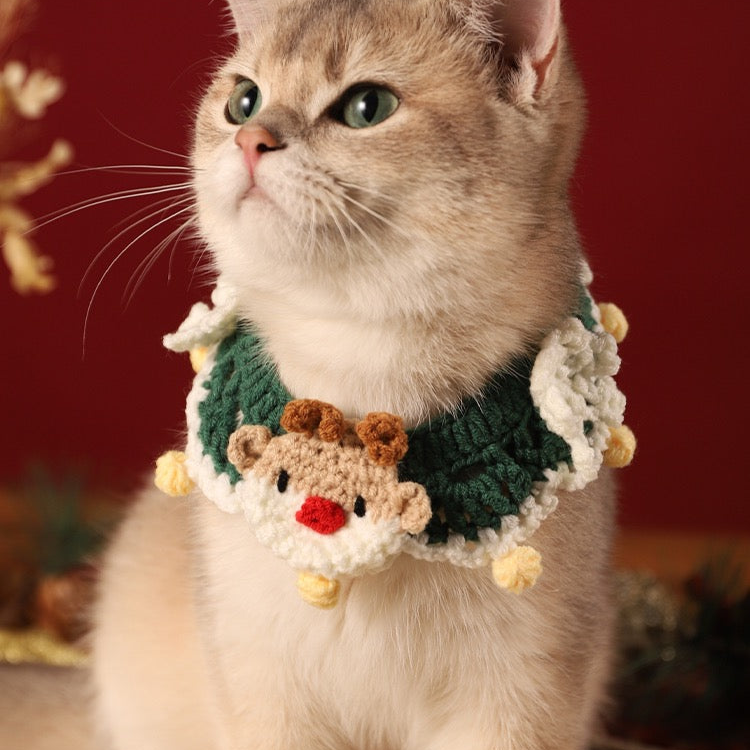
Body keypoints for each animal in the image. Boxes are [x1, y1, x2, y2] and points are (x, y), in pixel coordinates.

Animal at [1, 1, 624, 750]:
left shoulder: (518, 698)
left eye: (366, 106)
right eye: (243, 101)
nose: (251, 141)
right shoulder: (262, 690)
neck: (359, 375)